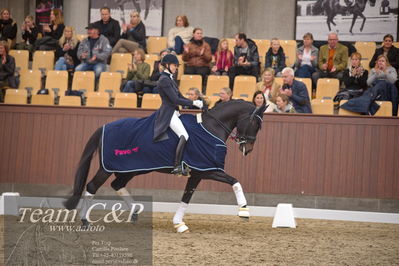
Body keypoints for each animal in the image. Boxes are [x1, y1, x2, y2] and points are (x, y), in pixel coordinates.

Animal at [64, 100, 268, 233]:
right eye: (255, 123)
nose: (248, 149)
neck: (211, 127)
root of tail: (105, 126)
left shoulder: (198, 174)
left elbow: (186, 197)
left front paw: (179, 224)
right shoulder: (209, 170)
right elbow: (235, 181)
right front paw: (244, 211)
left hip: (132, 168)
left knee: (117, 184)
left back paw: (134, 213)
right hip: (109, 167)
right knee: (92, 186)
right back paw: (85, 221)